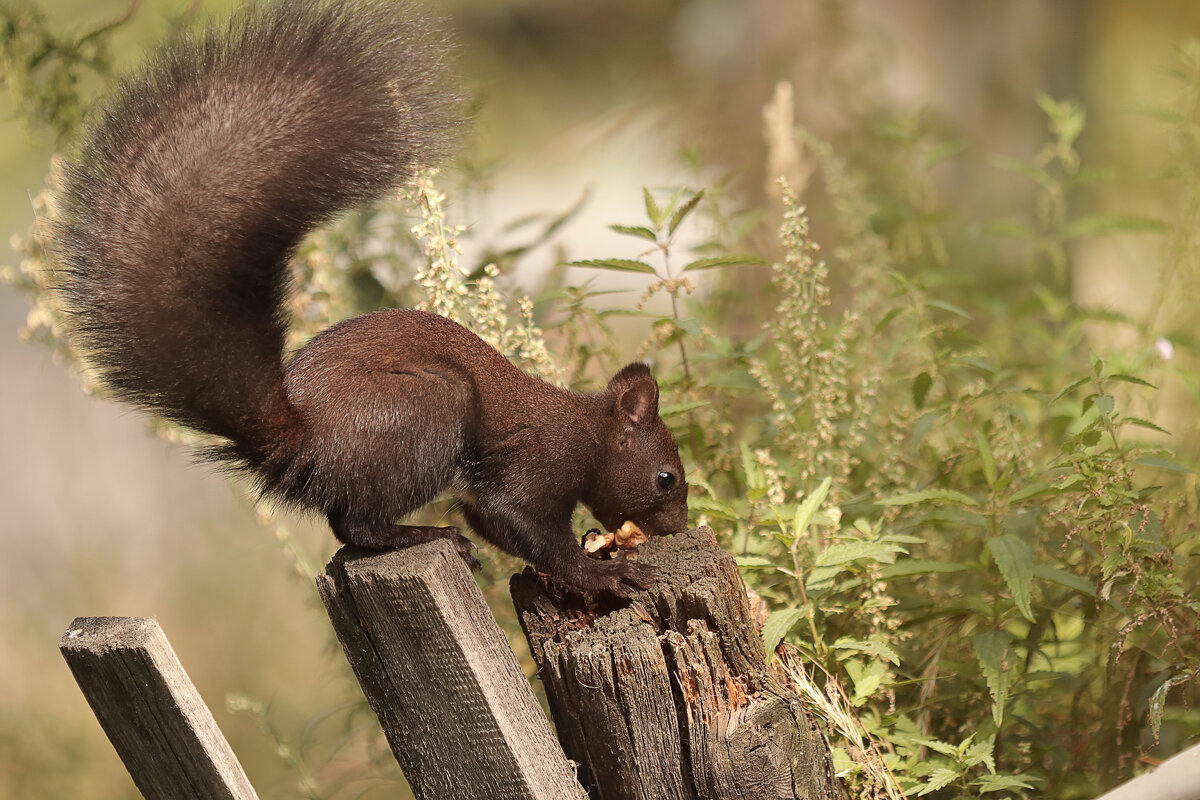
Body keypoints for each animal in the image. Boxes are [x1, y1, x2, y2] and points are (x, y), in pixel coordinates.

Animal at [51, 0, 691, 597]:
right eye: (666, 477)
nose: (679, 527)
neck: (587, 431)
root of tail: (301, 440)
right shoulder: (536, 461)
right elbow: (518, 521)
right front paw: (599, 572)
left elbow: (497, 525)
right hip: (426, 412)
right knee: (356, 526)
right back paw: (423, 533)